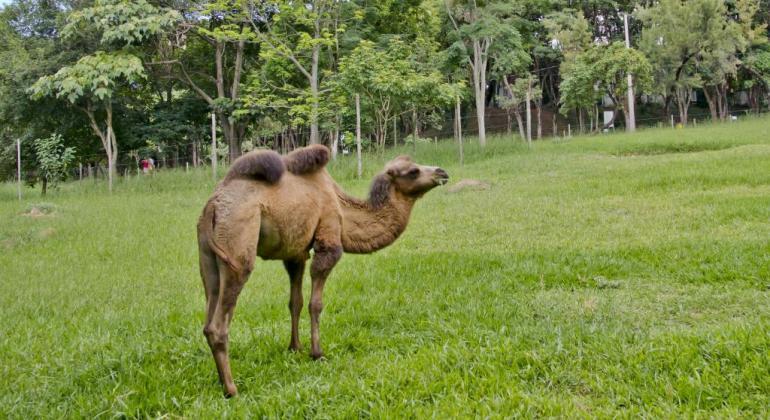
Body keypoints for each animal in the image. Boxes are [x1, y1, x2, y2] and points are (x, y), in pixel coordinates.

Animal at [196, 145, 450, 398]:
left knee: (209, 318)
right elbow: (315, 304)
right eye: (413, 171)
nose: (442, 172)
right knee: (220, 323)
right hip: (238, 244)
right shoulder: (328, 239)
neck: (342, 207)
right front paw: (317, 353)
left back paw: (221, 380)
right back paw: (231, 389)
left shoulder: (295, 253)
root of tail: (213, 206)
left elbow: (295, 302)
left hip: (207, 256)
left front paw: (295, 348)